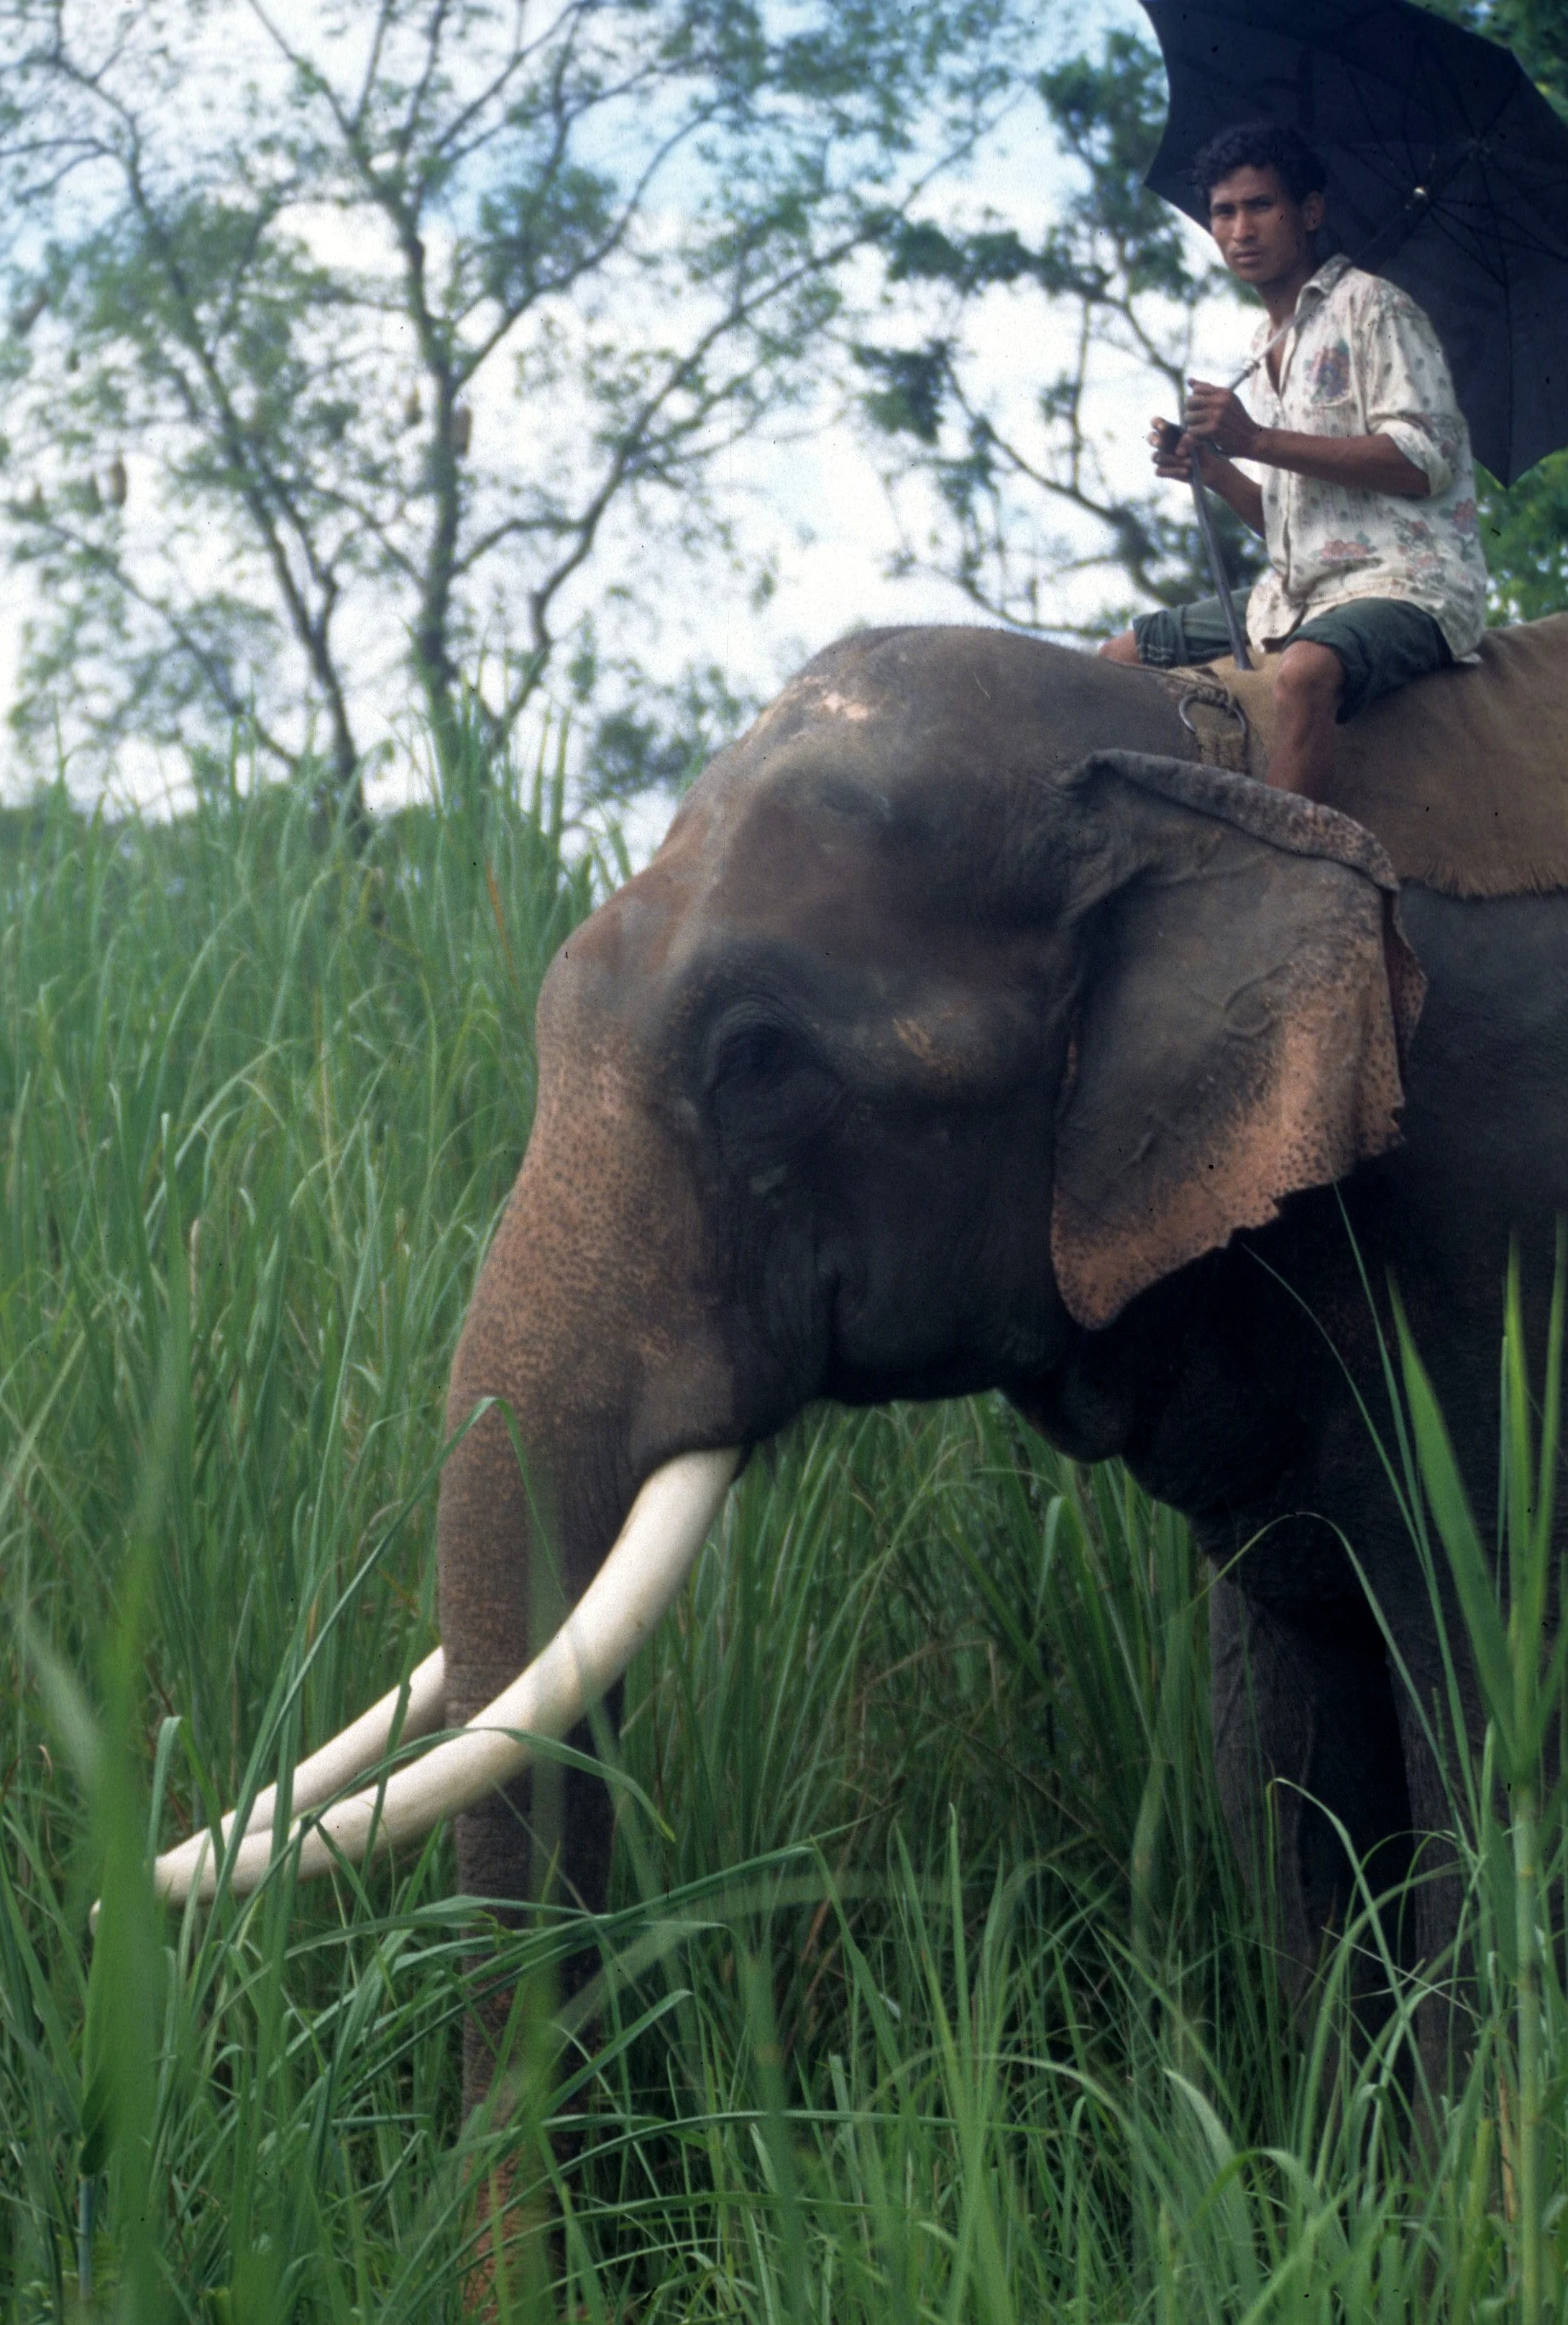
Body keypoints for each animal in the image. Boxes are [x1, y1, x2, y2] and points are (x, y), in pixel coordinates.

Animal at [154, 622, 1568, 2114]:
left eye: (760, 1060)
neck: (1177, 758)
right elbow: (1283, 1737)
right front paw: (1342, 2156)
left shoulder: (1483, 1246)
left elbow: (1484, 1706)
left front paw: (1462, 2162)